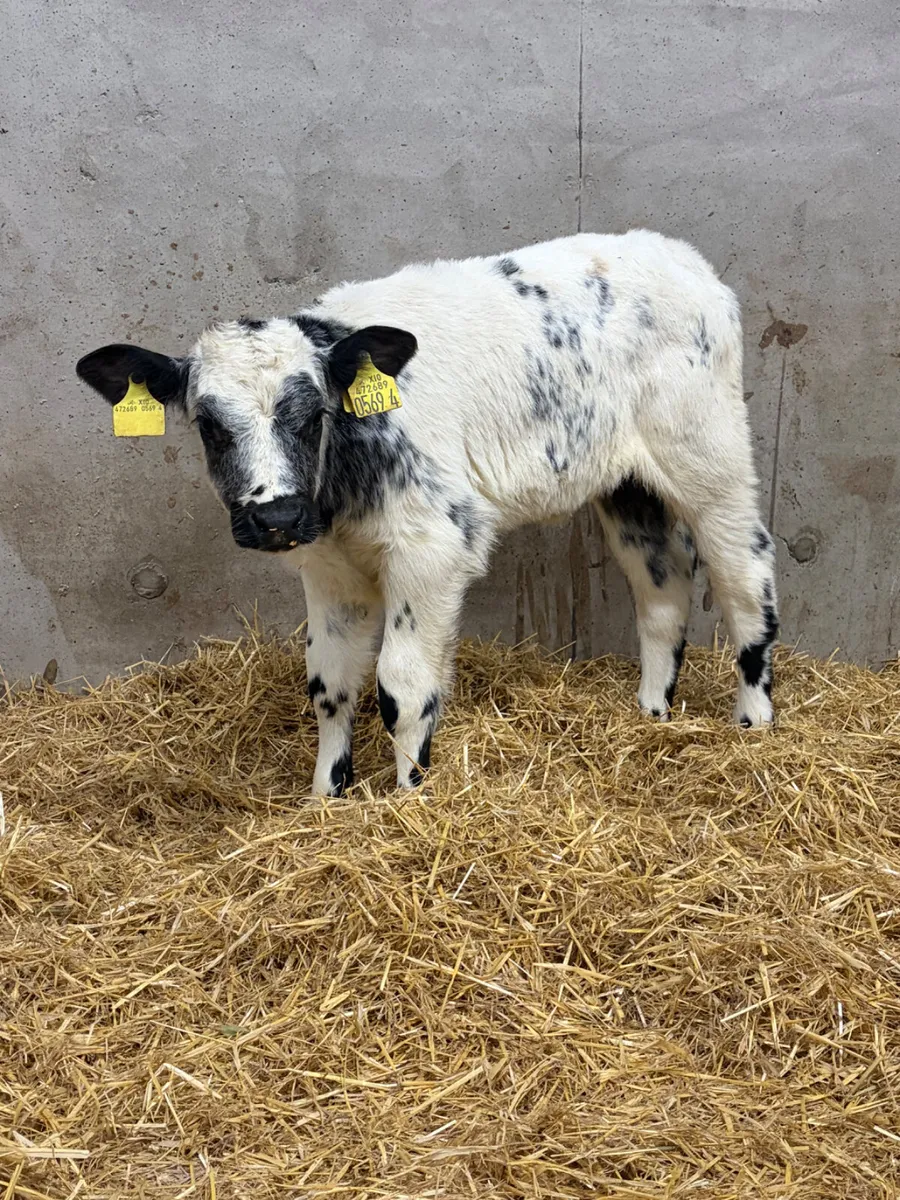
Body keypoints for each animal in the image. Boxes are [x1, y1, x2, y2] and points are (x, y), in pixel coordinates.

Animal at [76, 230, 779, 797]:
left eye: (312, 415)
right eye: (208, 426)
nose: (277, 517)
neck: (344, 486)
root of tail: (680, 256)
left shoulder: (434, 544)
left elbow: (402, 683)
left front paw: (410, 797)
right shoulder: (328, 567)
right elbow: (329, 682)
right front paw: (325, 798)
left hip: (710, 455)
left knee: (745, 575)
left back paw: (753, 721)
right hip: (627, 483)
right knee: (662, 587)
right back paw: (652, 713)